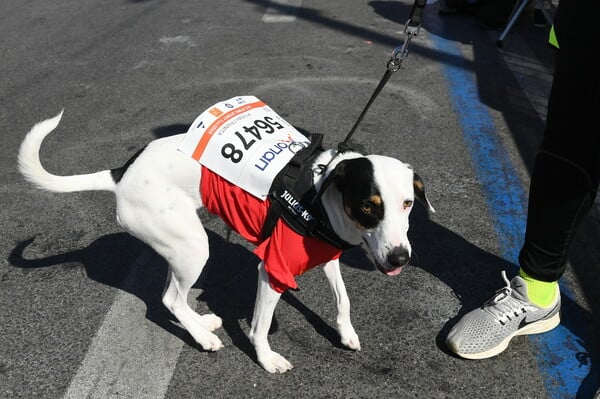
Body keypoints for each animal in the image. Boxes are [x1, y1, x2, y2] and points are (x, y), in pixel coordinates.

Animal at [16, 107, 434, 376]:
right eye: (368, 206)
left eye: (408, 203)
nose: (400, 258)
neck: (323, 193)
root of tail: (121, 173)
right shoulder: (273, 268)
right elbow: (260, 326)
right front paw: (266, 359)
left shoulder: (327, 255)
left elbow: (343, 299)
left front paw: (346, 332)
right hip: (193, 247)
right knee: (169, 299)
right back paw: (203, 338)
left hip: (181, 248)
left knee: (171, 296)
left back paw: (200, 323)